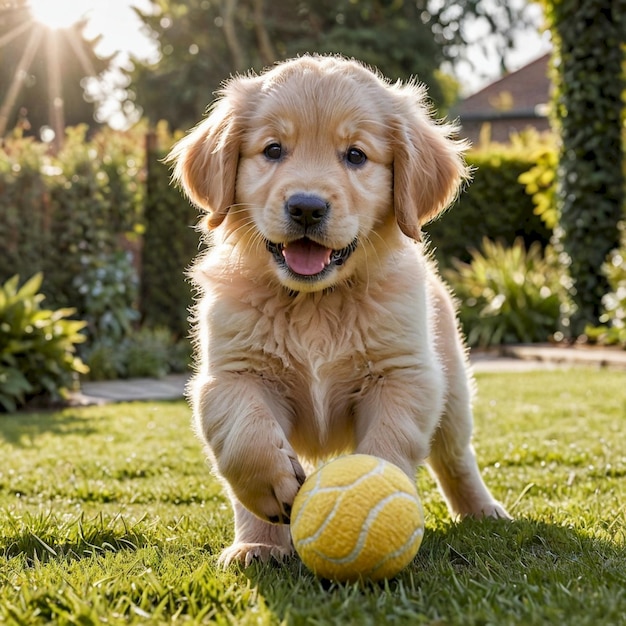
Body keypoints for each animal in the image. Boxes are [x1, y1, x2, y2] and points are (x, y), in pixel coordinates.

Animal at [168, 54, 510, 564]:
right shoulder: (231, 373)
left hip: (451, 389)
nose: (307, 207)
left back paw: (481, 509)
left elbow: (388, 446)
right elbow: (246, 437)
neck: (316, 301)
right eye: (273, 150)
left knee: (455, 456)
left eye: (356, 155)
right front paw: (260, 536)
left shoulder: (403, 374)